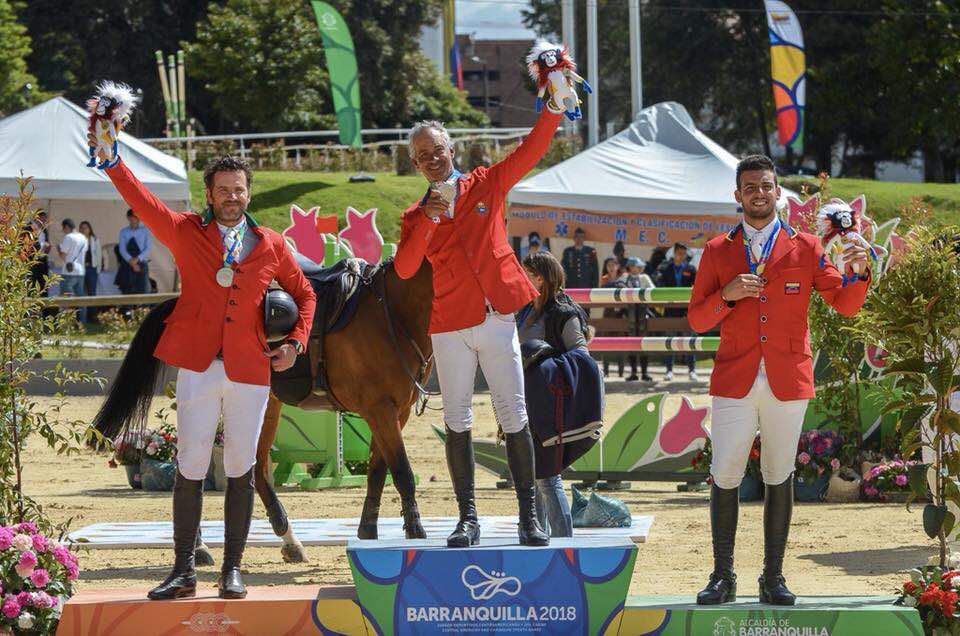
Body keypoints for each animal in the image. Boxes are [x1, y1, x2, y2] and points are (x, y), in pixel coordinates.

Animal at [93, 256, 432, 564]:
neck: (391, 311)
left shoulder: (394, 412)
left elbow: (378, 470)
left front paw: (368, 533)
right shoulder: (379, 409)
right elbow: (402, 471)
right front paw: (416, 534)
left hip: (265, 404)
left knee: (258, 468)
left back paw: (290, 540)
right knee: (193, 466)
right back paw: (200, 548)